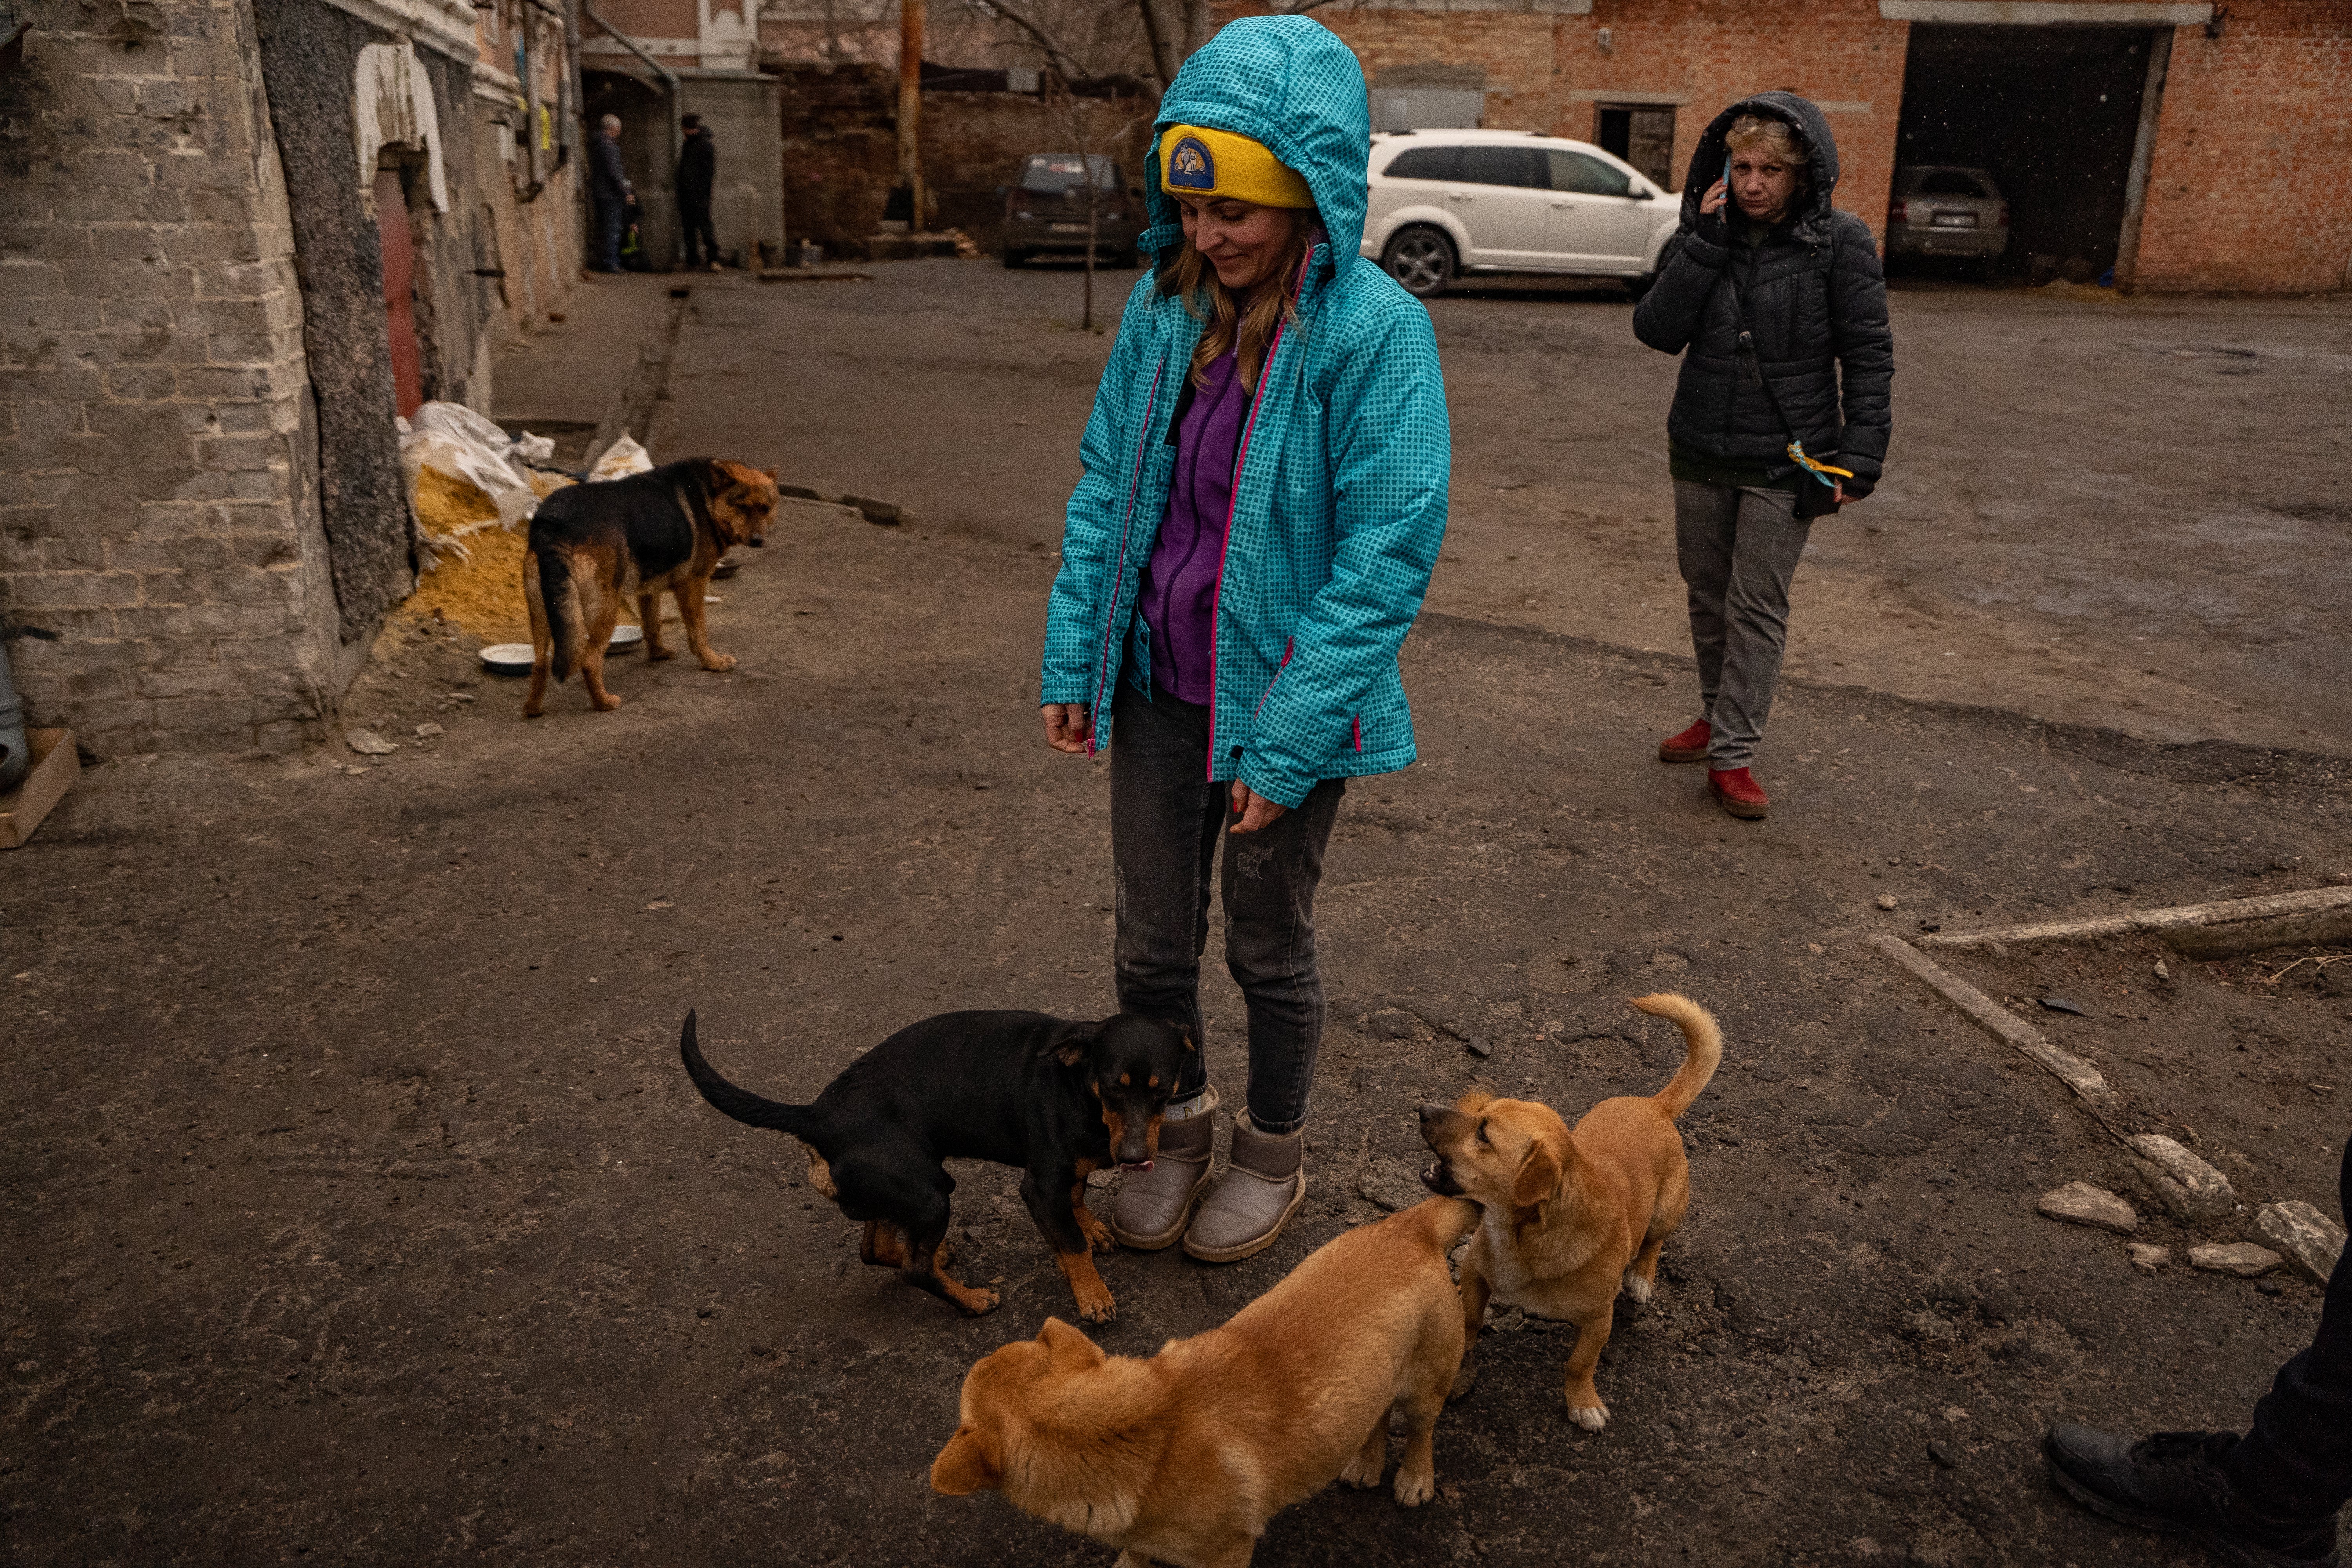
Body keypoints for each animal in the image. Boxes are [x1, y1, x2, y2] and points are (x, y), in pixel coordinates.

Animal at [520, 456, 776, 719]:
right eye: (742, 507)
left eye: (766, 509)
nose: (758, 541)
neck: (708, 495)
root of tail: (554, 523)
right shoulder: (693, 585)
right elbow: (699, 633)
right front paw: (713, 663)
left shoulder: (649, 589)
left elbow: (653, 625)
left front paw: (658, 653)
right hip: (604, 610)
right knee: (590, 662)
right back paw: (604, 703)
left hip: (544, 613)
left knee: (540, 663)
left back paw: (533, 709)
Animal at [682, 1006, 1195, 1326]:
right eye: (1112, 1088)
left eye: (1162, 1092)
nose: (1134, 1159)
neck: (1078, 1087)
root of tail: (817, 1116)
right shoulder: (1040, 1185)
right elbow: (1070, 1245)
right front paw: (1093, 1297)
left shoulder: (1068, 1174)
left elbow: (1077, 1195)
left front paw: (1091, 1227)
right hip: (931, 1192)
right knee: (913, 1268)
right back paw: (971, 1299)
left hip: (904, 1190)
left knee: (877, 1249)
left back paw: (940, 1257)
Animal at [931, 1194, 1468, 1561]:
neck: (1140, 1432)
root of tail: (1414, 1223)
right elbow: (1138, 1550)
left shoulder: (1228, 1553)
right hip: (1375, 1374)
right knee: (1377, 1413)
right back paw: (1366, 1462)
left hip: (1426, 1387)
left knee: (1421, 1430)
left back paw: (1415, 1478)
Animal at [1411, 992, 1731, 1439]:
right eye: (1480, 1112)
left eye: (1483, 1134)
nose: (1422, 1108)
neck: (1523, 1235)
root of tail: (1655, 1106)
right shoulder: (1475, 1273)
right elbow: (1471, 1320)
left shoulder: (1599, 1320)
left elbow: (1580, 1363)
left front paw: (1583, 1403)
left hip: (1668, 1210)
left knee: (1654, 1241)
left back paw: (1642, 1277)